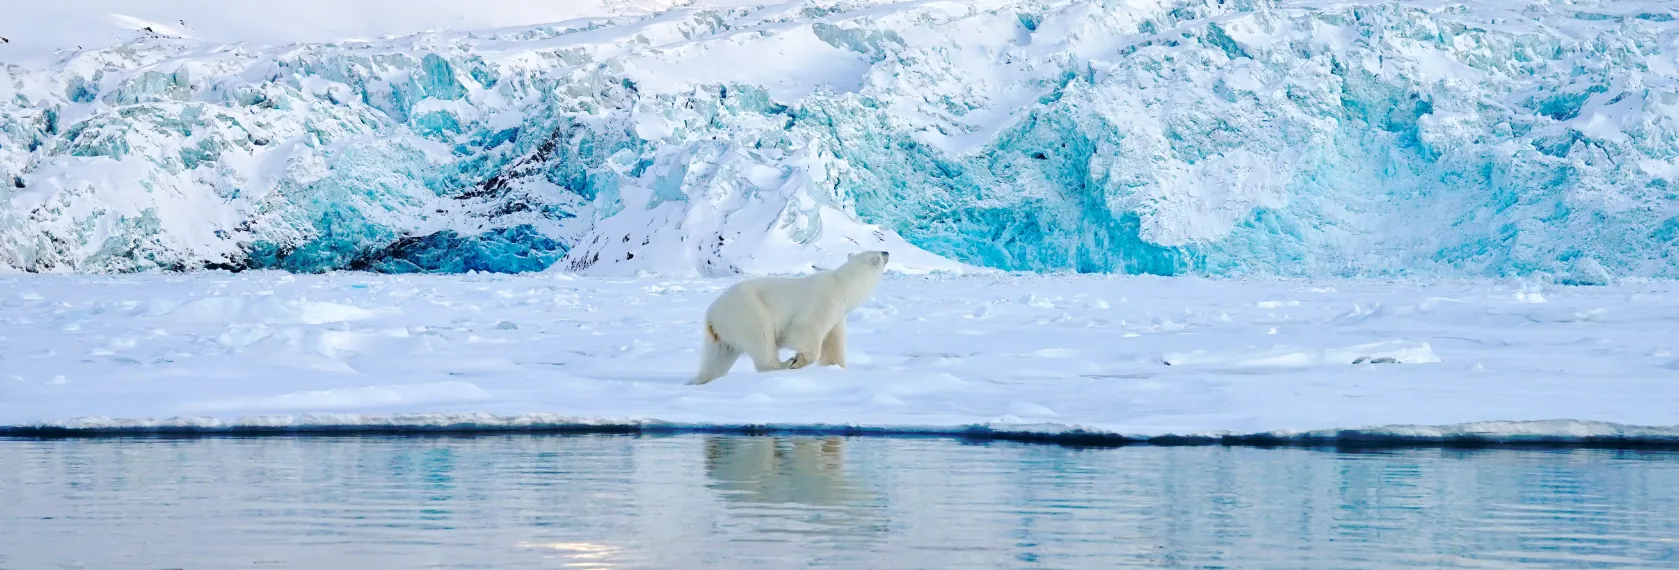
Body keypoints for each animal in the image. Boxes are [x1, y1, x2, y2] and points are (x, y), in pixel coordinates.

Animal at [688, 252, 886, 386]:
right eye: (876, 254)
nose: (887, 252)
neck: (843, 285)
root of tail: (711, 316)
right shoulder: (824, 303)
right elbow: (807, 330)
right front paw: (799, 360)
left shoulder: (838, 315)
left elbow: (833, 342)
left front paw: (837, 368)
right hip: (747, 312)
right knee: (762, 339)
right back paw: (784, 364)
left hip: (722, 334)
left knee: (717, 357)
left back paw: (700, 380)